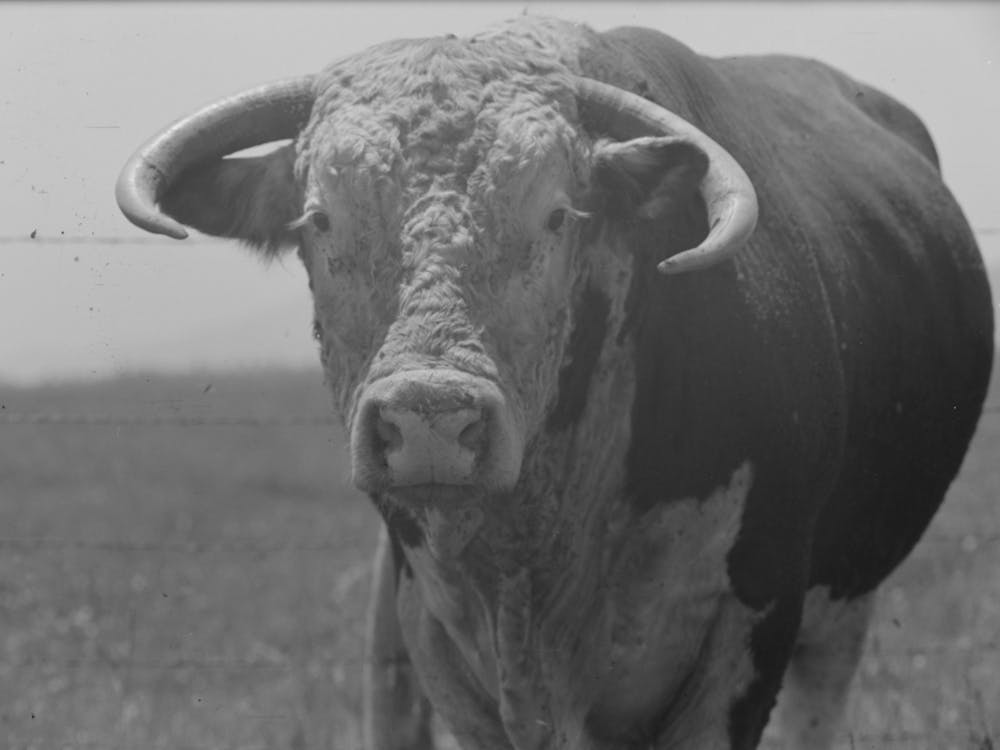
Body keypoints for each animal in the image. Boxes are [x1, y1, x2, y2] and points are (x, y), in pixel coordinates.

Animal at [115, 16, 994, 750]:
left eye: (557, 216)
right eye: (320, 220)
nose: (431, 419)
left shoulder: (754, 626)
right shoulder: (443, 648)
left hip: (841, 608)